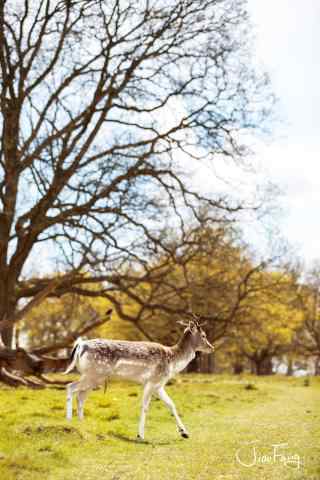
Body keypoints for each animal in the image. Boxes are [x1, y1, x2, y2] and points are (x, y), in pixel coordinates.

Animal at [63, 310, 214, 440]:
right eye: (204, 335)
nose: (211, 347)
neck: (173, 361)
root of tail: (80, 346)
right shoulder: (152, 381)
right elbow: (145, 406)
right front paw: (140, 435)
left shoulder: (159, 385)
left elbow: (171, 404)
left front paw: (184, 433)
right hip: (94, 374)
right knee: (70, 386)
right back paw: (69, 420)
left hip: (94, 377)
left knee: (81, 396)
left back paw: (81, 422)